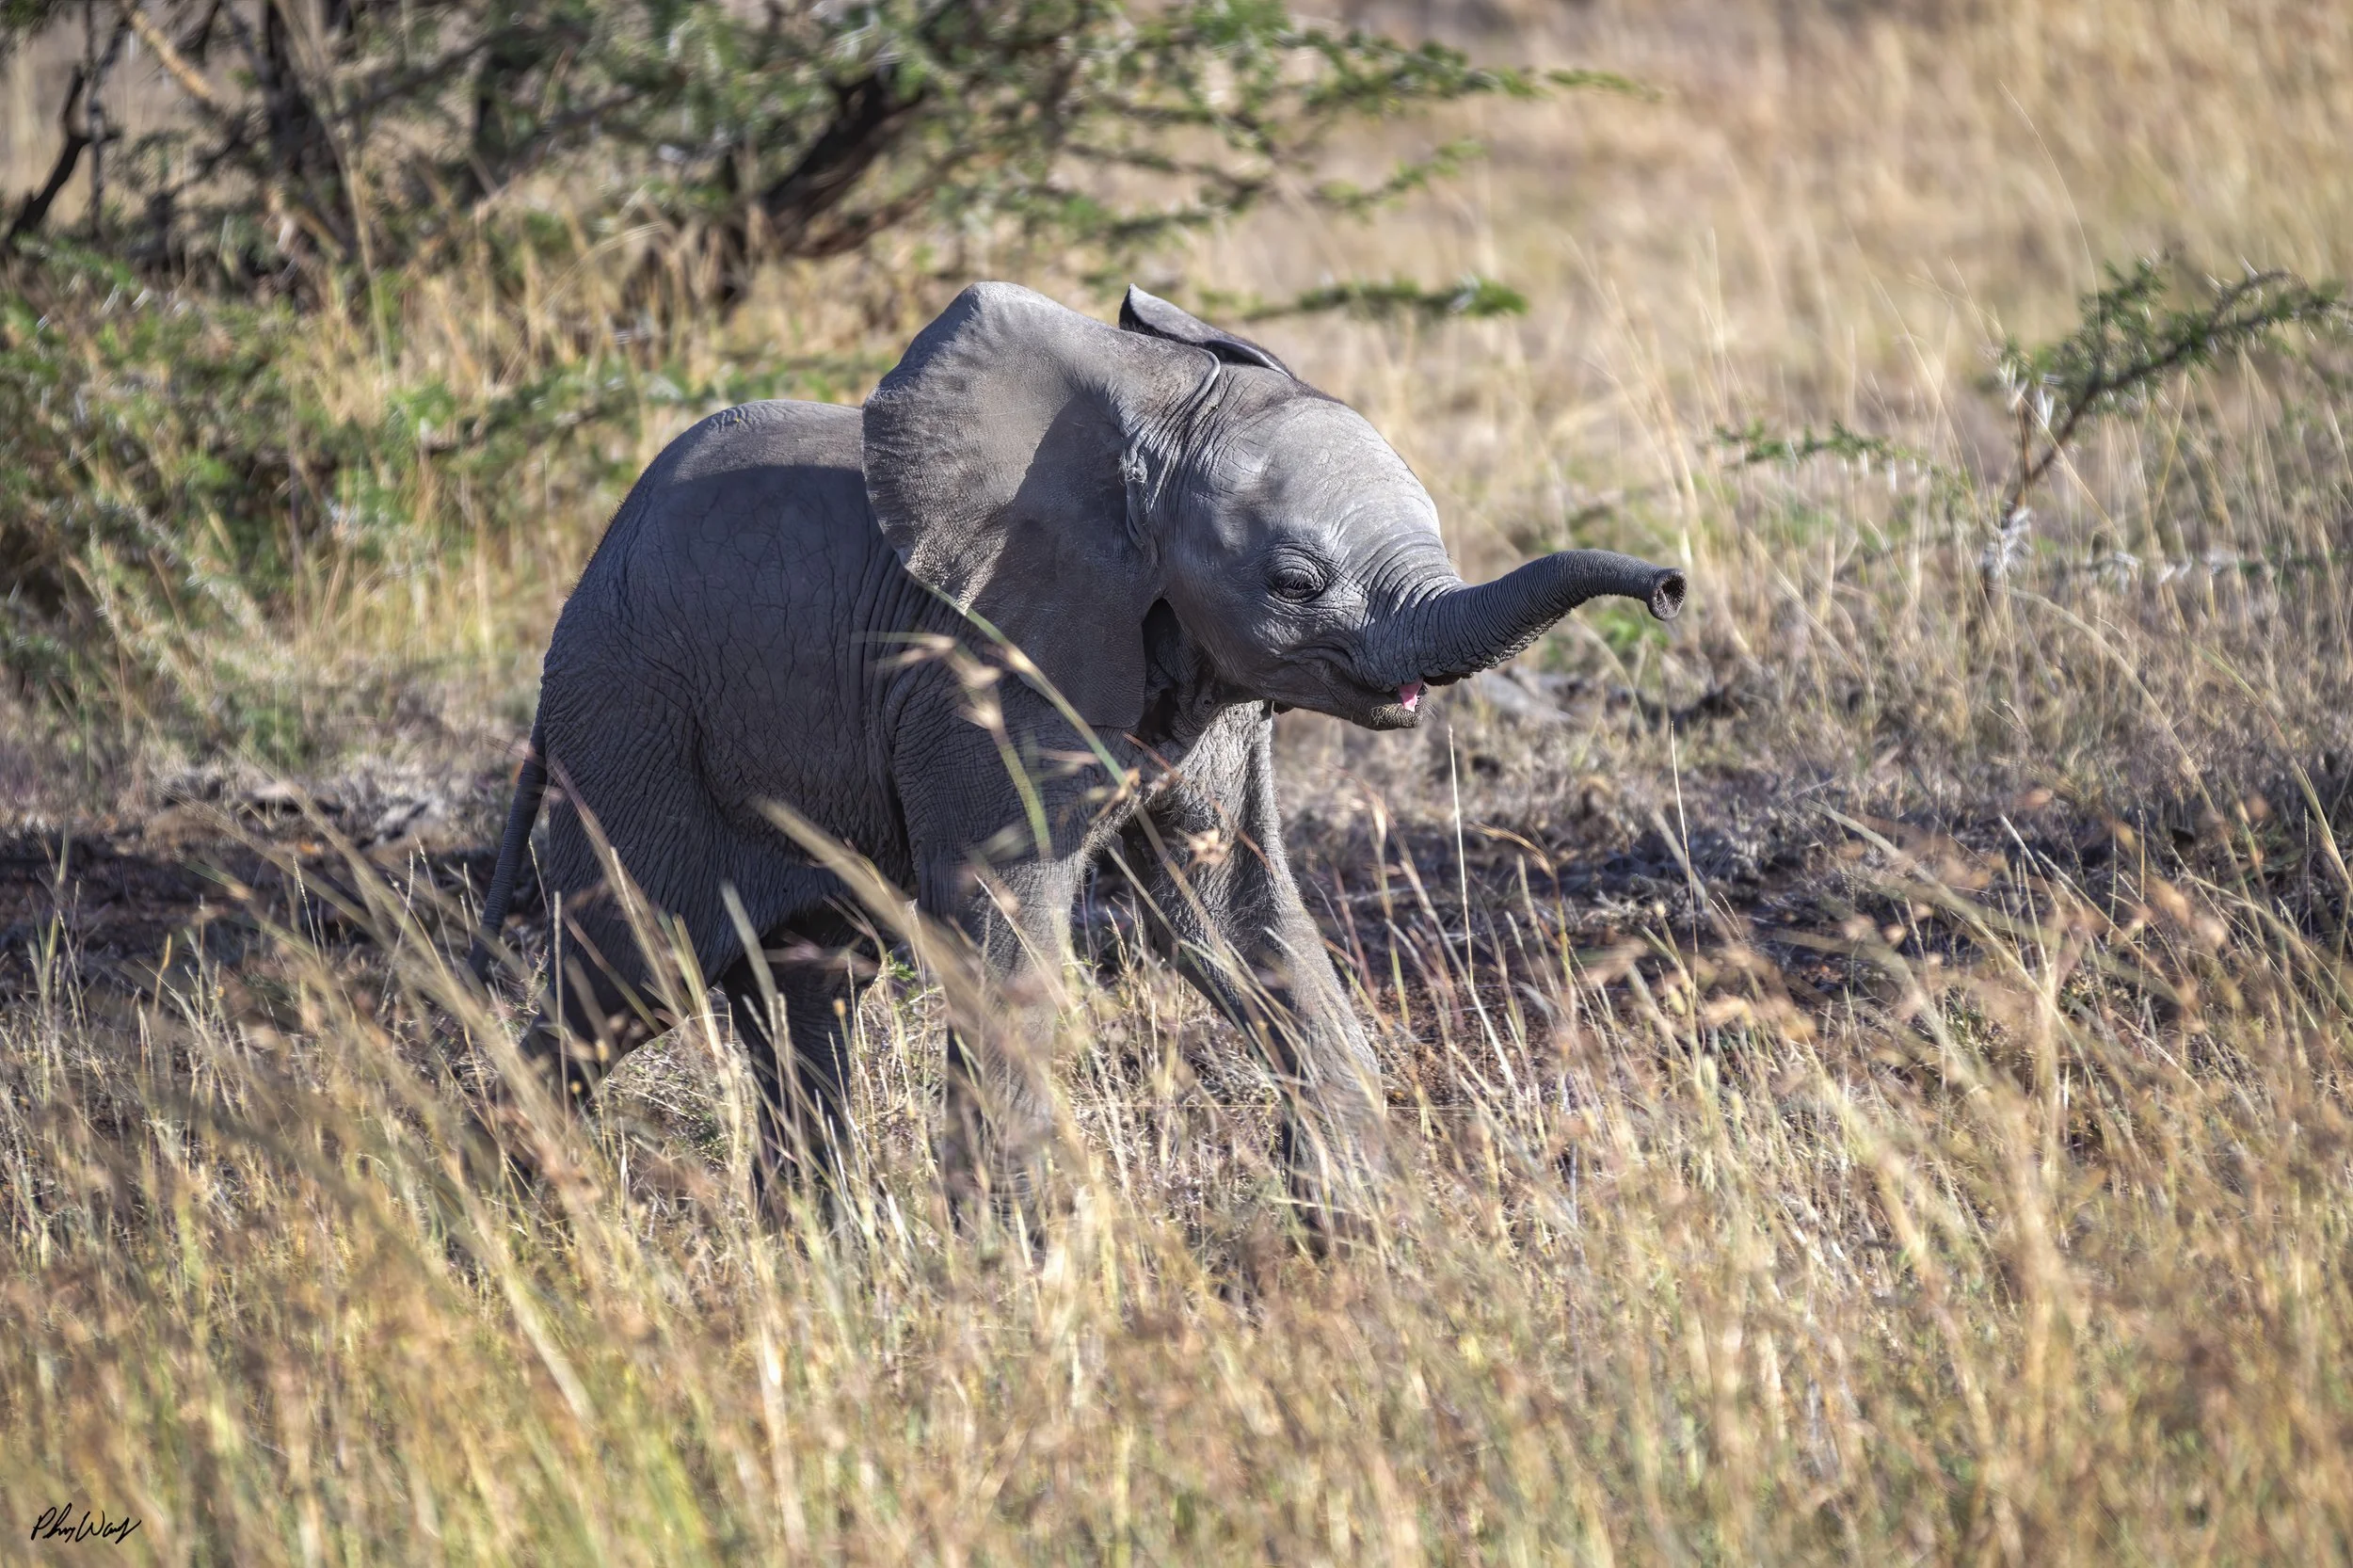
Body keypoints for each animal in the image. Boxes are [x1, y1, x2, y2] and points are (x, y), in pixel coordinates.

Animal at [468, 281, 1685, 1223]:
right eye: (1295, 583)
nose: (1670, 587)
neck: (1144, 430)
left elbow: (1236, 916)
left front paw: (1359, 1226)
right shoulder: (983, 677)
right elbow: (1007, 930)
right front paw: (1019, 1272)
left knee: (804, 992)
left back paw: (823, 1262)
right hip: (634, 735)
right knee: (624, 975)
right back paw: (515, 1236)